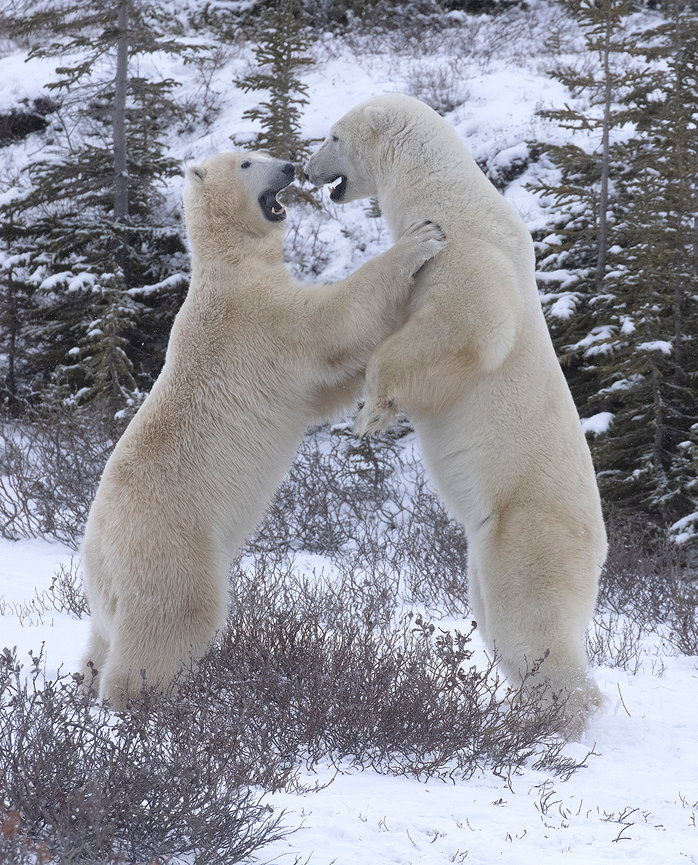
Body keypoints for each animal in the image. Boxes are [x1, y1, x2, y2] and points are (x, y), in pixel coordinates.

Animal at [80, 149, 446, 705]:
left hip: (112, 586)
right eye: (248, 162)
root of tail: (97, 548)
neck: (233, 265)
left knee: (99, 637)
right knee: (173, 619)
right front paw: (421, 238)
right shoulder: (259, 319)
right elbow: (331, 324)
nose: (290, 166)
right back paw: (144, 702)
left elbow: (326, 389)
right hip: (171, 544)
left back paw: (80, 686)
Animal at [306, 94, 608, 738]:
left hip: (525, 534)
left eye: (334, 136)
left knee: (529, 627)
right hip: (484, 555)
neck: (448, 194)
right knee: (497, 624)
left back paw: (558, 724)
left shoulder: (468, 256)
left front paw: (371, 411)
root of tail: (598, 551)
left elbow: (465, 328)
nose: (307, 169)